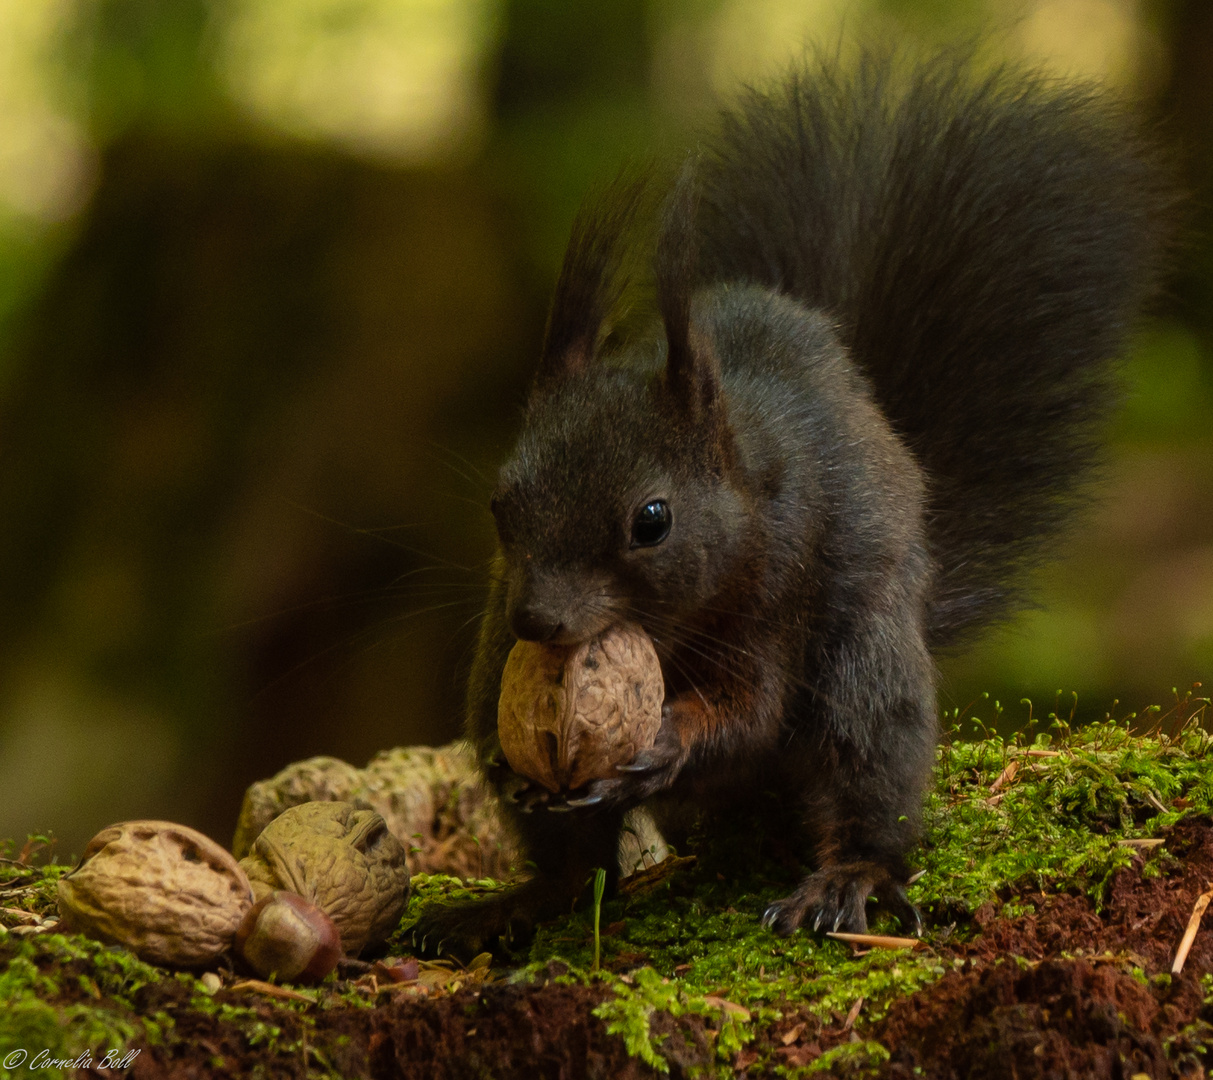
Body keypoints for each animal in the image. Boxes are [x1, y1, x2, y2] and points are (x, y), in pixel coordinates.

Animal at [409, 46, 1174, 956]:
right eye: (501, 502)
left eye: (651, 521)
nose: (539, 621)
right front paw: (513, 767)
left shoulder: (780, 586)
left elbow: (752, 712)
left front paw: (666, 737)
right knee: (576, 872)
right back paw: (505, 905)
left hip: (865, 669)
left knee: (863, 783)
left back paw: (845, 882)